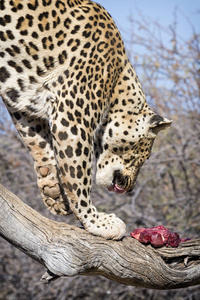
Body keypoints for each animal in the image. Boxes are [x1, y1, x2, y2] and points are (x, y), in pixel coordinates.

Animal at [0, 0, 172, 239]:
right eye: (144, 157)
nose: (130, 188)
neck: (117, 83)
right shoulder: (72, 118)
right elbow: (78, 175)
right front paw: (96, 221)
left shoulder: (24, 101)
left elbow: (40, 142)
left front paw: (53, 190)